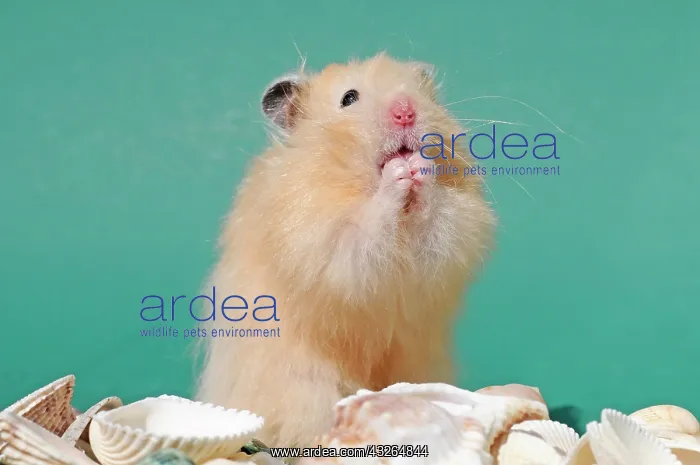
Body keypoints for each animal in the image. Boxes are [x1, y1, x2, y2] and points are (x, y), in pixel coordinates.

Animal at [195, 53, 496, 449]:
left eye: (420, 94)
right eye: (349, 98)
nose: (406, 111)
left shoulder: (456, 229)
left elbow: (438, 221)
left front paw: (420, 166)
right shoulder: (318, 236)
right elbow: (362, 234)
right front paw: (399, 171)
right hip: (304, 386)